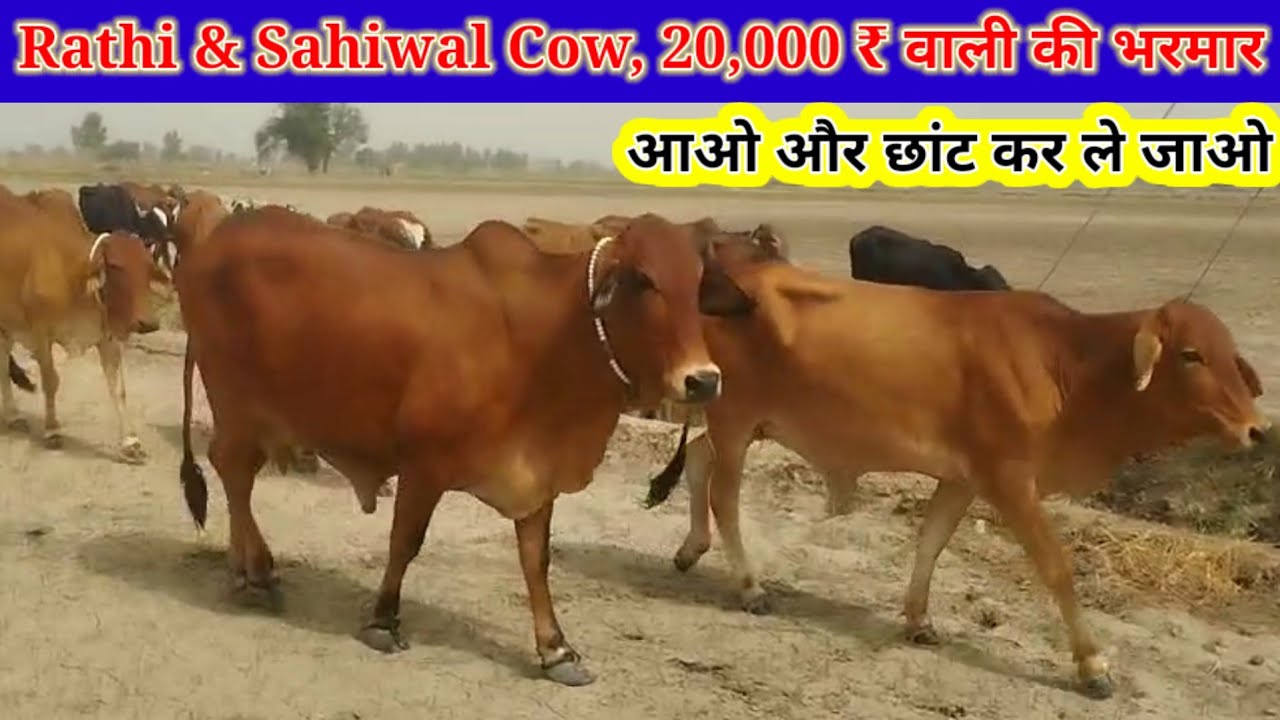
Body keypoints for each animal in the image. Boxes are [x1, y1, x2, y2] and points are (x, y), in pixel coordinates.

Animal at [0, 193, 169, 462]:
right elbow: (51, 381)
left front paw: (130, 442)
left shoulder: (108, 338)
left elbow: (118, 390)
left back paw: (13, 415)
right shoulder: (40, 333)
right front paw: (52, 430)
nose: (148, 323)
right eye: (117, 266)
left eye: (146, 268)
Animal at [174, 208, 755, 685]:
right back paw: (258, 572)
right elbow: (404, 542)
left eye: (697, 286)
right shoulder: (424, 464)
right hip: (236, 400)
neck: (549, 340)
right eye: (645, 280)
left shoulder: (537, 474)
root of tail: (212, 244)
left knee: (237, 476)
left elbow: (535, 560)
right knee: (233, 471)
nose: (703, 381)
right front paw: (383, 621)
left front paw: (556, 649)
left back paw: (243, 566)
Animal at [641, 261, 1269, 700]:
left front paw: (918, 619)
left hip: (747, 425)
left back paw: (691, 548)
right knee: (724, 494)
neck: (1069, 362)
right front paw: (1092, 664)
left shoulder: (963, 479)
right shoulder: (1010, 480)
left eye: (1230, 354)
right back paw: (750, 587)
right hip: (737, 417)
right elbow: (1057, 569)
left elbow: (931, 543)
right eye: (1191, 355)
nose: (1258, 430)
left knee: (697, 459)